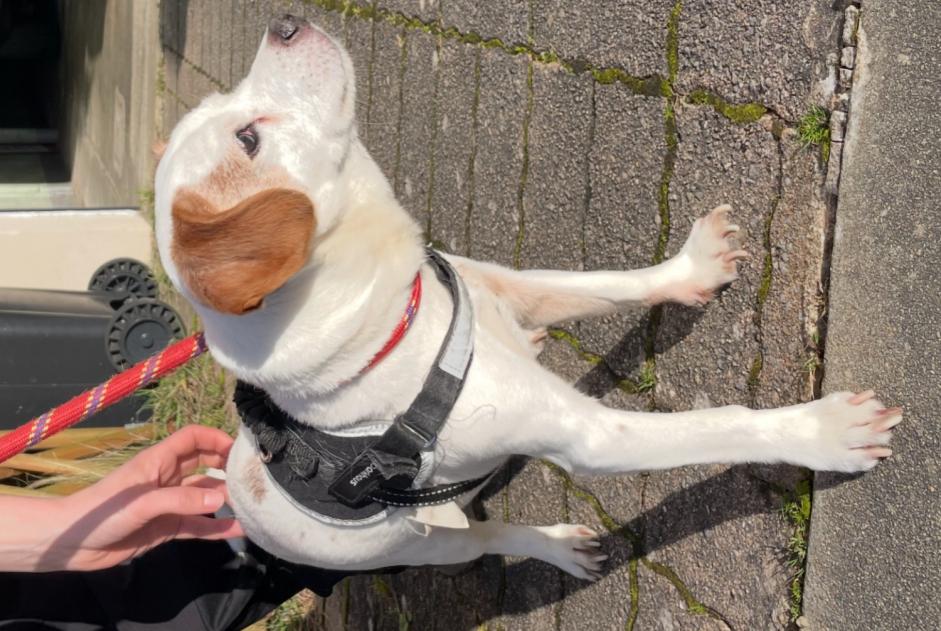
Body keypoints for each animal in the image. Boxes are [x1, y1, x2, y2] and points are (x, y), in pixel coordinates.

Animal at [156, 14, 904, 580]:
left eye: (234, 118)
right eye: (248, 138)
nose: (284, 21)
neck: (395, 321)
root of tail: (237, 506)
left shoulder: (502, 283)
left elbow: (608, 286)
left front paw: (691, 267)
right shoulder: (587, 435)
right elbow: (718, 425)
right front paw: (824, 432)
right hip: (429, 545)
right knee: (486, 541)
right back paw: (557, 548)